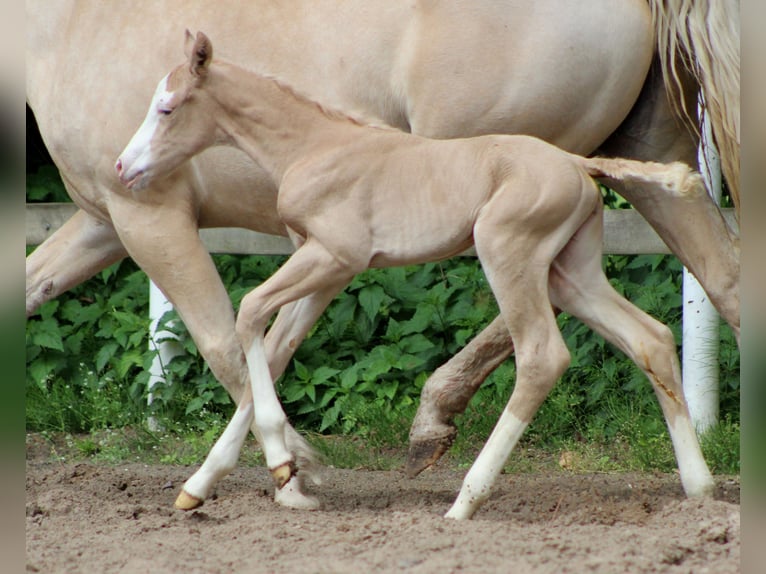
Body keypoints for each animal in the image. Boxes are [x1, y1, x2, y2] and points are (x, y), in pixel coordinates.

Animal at [26, 0, 739, 486]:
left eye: (167, 108)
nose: (125, 166)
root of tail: (573, 165)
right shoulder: (111, 222)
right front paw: (246, 472)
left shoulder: (164, 221)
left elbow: (239, 334)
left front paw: (292, 470)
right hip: (615, 195)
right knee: (698, 296)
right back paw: (699, 484)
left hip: (509, 224)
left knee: (543, 349)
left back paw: (456, 472)